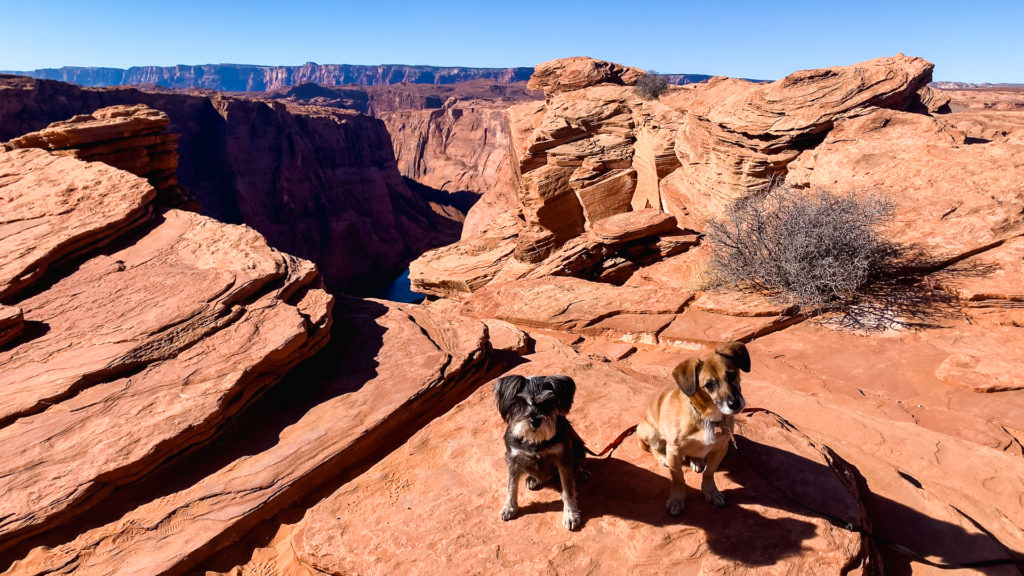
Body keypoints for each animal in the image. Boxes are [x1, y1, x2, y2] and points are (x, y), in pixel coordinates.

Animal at [493, 373, 589, 528]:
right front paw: (509, 508)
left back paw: (581, 473)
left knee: (578, 463)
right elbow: (511, 486)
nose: (535, 421)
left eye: (547, 403)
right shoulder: (513, 458)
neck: (534, 440)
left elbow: (567, 490)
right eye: (522, 402)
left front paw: (570, 515)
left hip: (579, 447)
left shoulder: (563, 459)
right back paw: (532, 479)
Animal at [634, 338, 749, 512]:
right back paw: (663, 458)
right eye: (709, 385)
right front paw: (677, 499)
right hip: (651, 433)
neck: (706, 416)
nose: (734, 404)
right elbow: (678, 478)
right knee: (653, 449)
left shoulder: (720, 449)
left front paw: (711, 492)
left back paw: (697, 461)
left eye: (732, 375)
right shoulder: (674, 451)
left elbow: (709, 472)